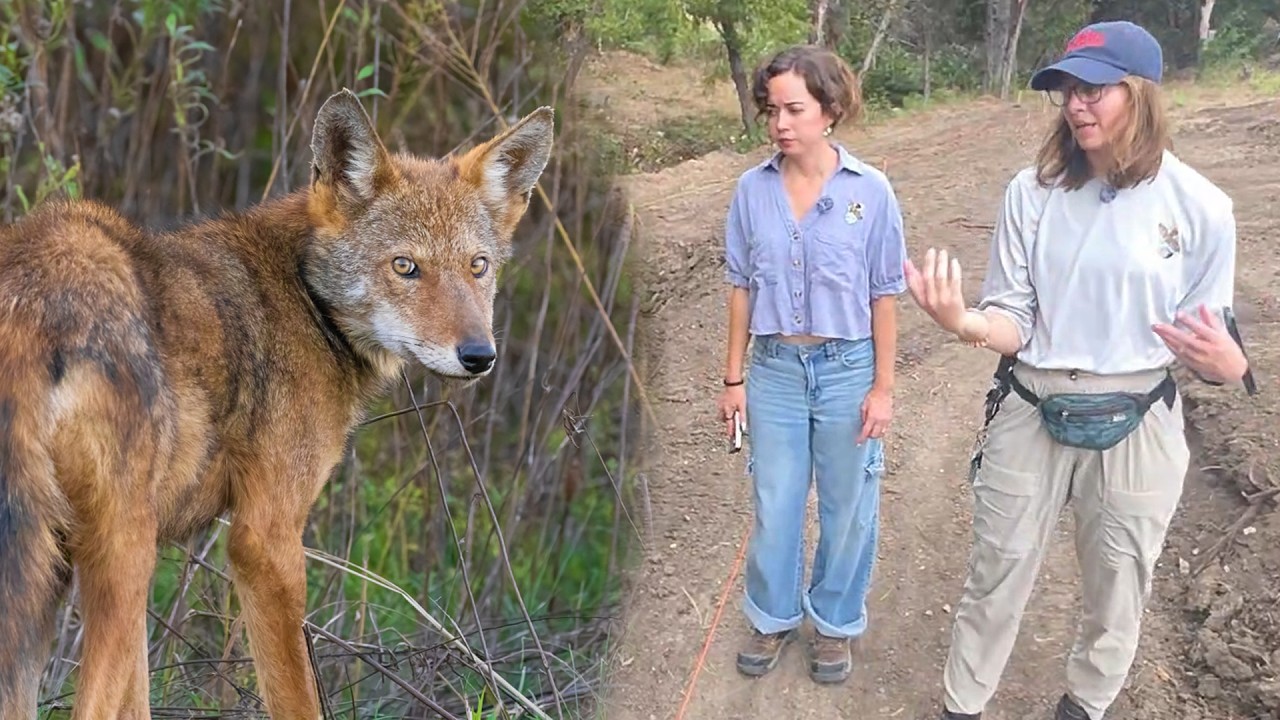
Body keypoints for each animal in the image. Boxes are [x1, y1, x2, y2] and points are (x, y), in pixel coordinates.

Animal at [0, 88, 554, 719]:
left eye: (477, 266)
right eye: (405, 267)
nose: (478, 355)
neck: (305, 293)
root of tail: (32, 299)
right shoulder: (265, 540)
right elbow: (297, 698)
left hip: (58, 577)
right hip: (119, 558)